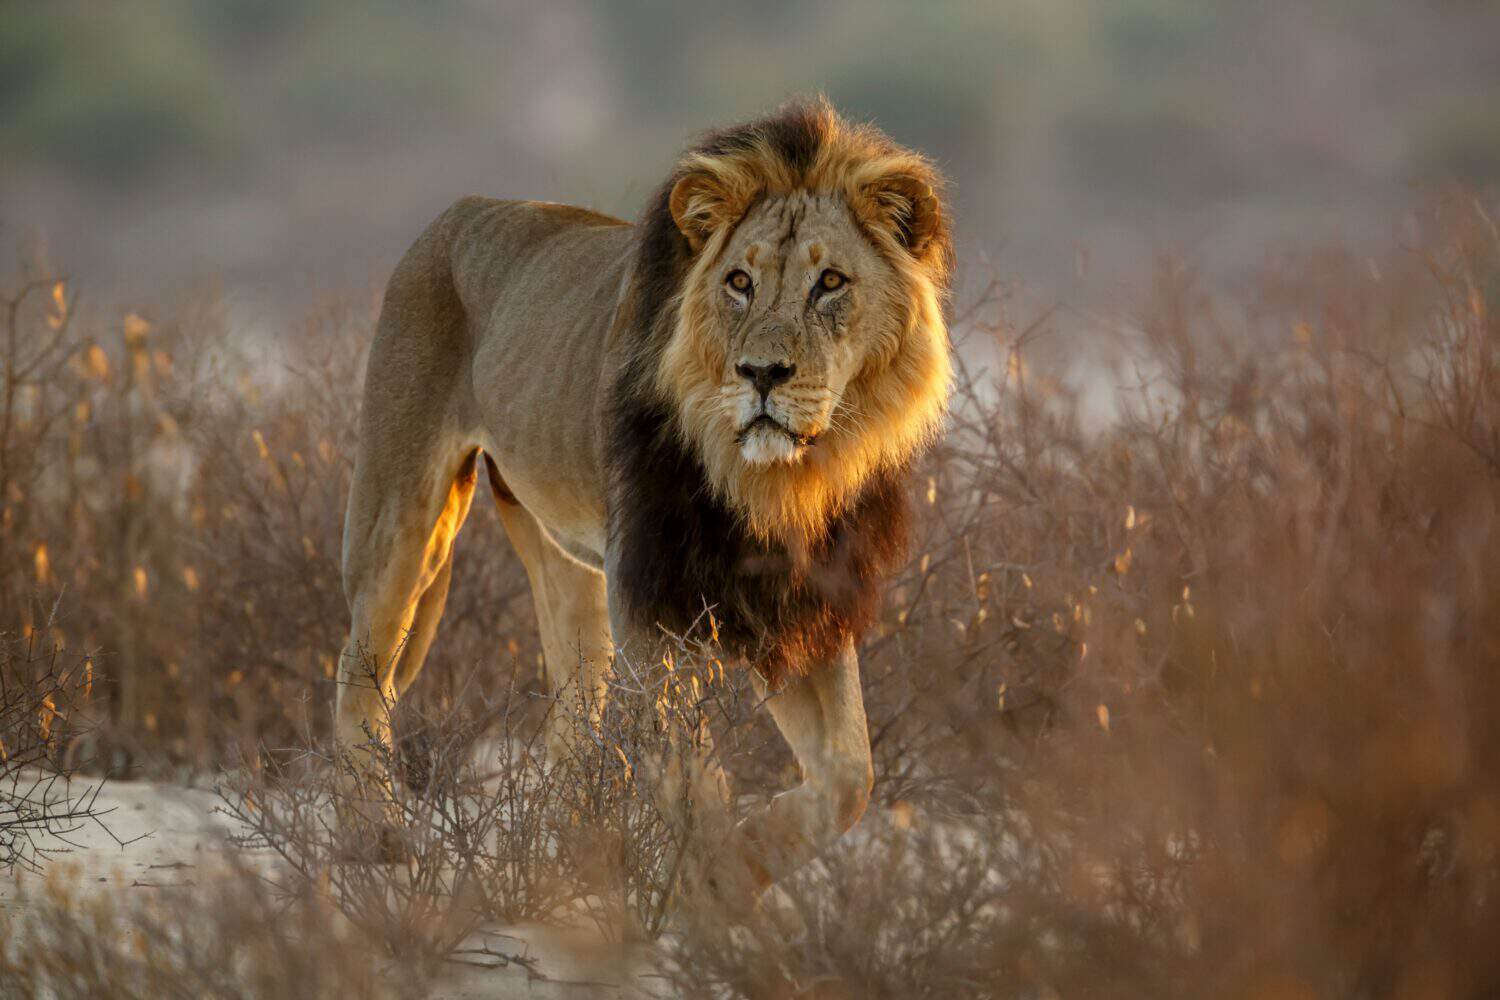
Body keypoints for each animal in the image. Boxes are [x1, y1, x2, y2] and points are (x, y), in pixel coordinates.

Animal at [335, 98, 952, 912]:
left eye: (829, 282)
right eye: (739, 281)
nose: (761, 373)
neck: (779, 482)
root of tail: (458, 210)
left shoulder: (799, 607)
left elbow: (850, 777)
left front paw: (738, 872)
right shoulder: (651, 610)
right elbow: (693, 776)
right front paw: (714, 888)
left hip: (565, 570)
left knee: (569, 720)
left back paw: (566, 868)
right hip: (403, 515)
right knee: (360, 669)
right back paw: (374, 840)